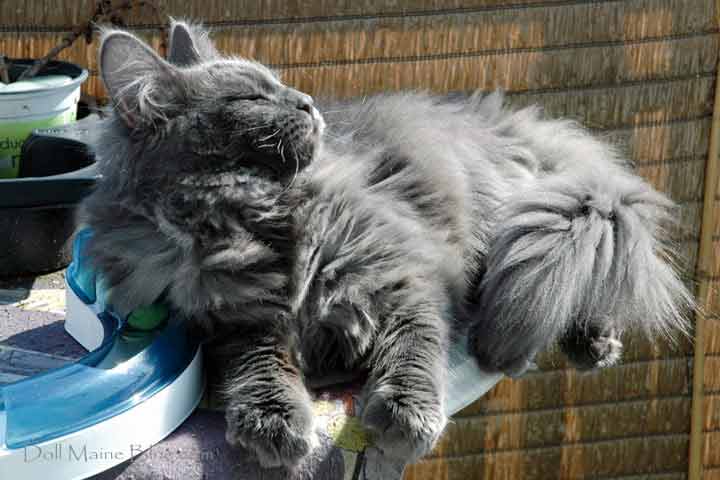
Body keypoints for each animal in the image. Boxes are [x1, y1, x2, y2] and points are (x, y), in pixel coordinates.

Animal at [80, 20, 693, 468]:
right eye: (252, 96)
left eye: (279, 82)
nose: (306, 101)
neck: (254, 222)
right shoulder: (229, 322)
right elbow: (256, 365)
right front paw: (273, 421)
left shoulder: (403, 273)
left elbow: (415, 346)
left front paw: (406, 415)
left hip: (530, 219)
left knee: (554, 277)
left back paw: (576, 341)